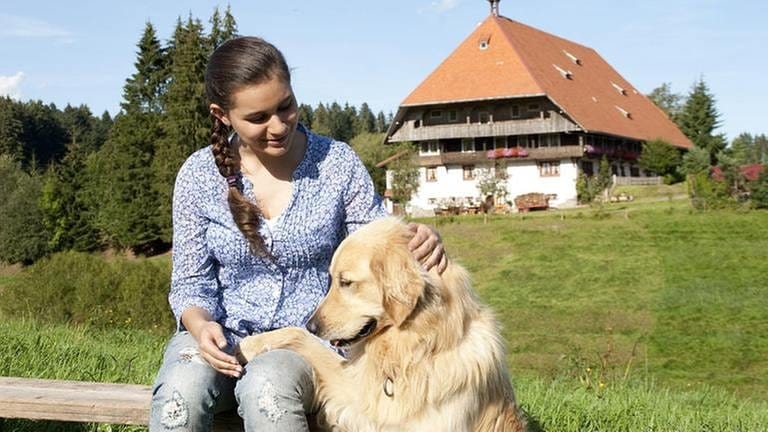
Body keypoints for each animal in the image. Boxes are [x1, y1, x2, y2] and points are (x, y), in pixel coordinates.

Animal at [238, 218, 528, 432]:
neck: (416, 349)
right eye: (332, 280)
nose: (313, 325)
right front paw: (250, 344)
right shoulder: (355, 397)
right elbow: (301, 337)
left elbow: (306, 340)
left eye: (346, 282)